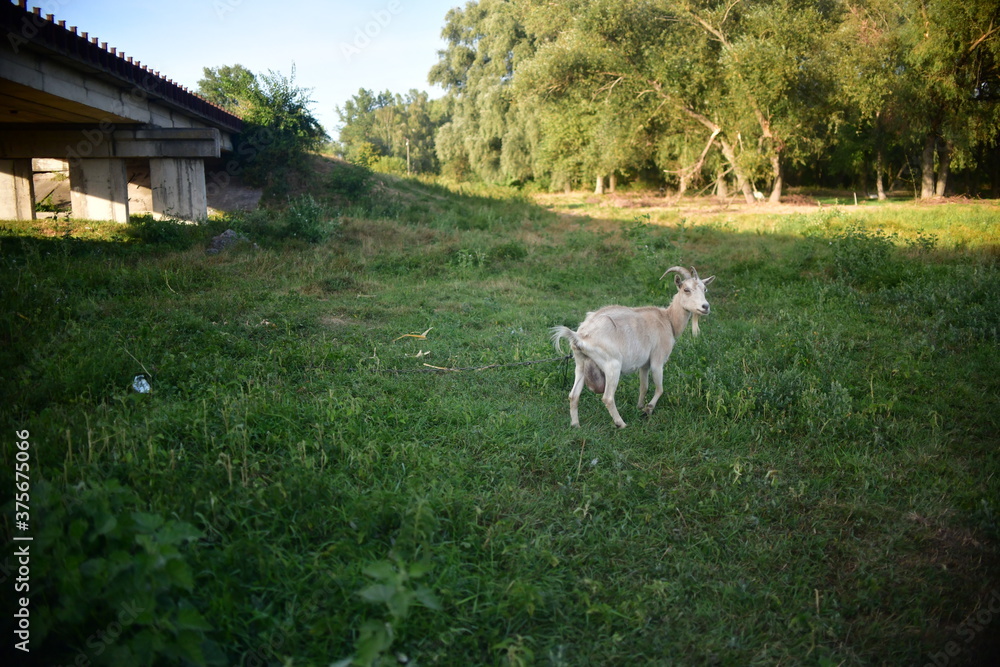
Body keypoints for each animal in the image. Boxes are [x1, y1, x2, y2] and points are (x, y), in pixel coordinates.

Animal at [550, 266, 715, 428]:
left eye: (705, 289)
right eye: (686, 289)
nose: (705, 307)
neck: (668, 320)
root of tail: (580, 336)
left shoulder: (644, 364)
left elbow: (644, 386)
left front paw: (640, 406)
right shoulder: (657, 360)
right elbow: (660, 389)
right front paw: (648, 409)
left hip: (580, 364)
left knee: (573, 395)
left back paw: (575, 425)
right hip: (612, 365)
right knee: (607, 398)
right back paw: (621, 423)